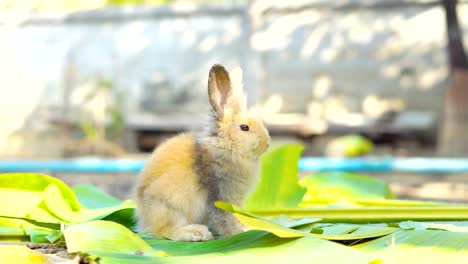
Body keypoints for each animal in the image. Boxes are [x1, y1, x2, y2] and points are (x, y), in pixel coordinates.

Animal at [133, 63, 270, 241]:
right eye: (244, 127)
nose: (267, 143)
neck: (226, 148)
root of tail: (143, 218)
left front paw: (245, 229)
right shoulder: (219, 196)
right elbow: (225, 219)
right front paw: (237, 234)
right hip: (170, 208)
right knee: (166, 233)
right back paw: (196, 233)